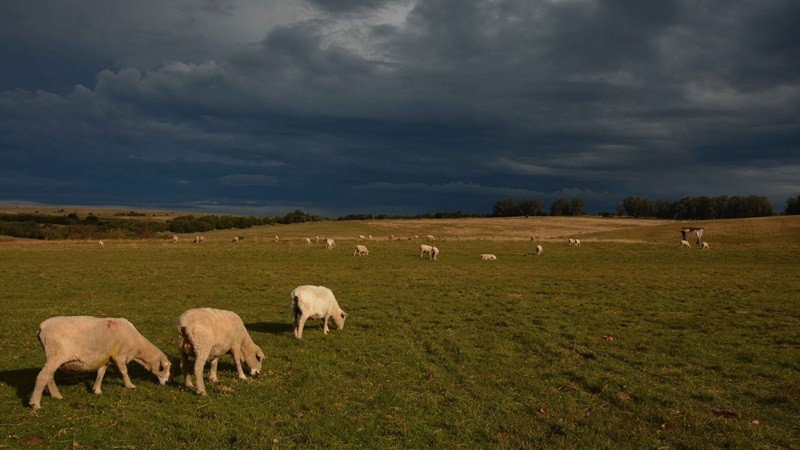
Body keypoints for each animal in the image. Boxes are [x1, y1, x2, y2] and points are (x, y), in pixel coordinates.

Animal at [28, 316, 171, 408]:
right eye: (164, 369)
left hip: (52, 356)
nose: (166, 382)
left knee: (49, 376)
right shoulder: (119, 355)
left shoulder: (105, 357)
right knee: (43, 376)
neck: (136, 347)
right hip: (56, 353)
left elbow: (101, 373)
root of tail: (42, 328)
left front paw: (96, 390)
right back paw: (35, 404)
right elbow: (124, 371)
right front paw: (130, 385)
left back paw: (56, 396)